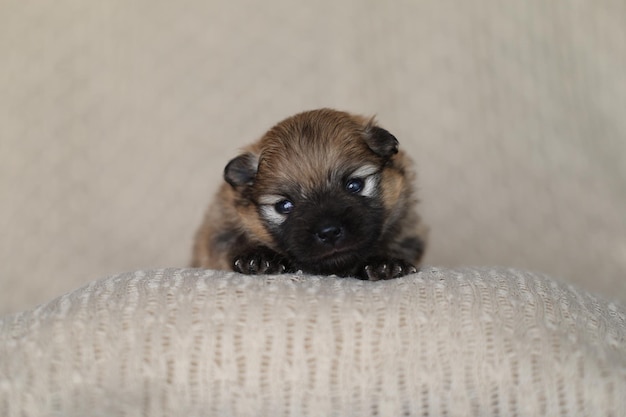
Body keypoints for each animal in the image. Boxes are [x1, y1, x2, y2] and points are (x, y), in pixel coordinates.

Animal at [190, 109, 424, 282]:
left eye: (354, 185)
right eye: (284, 206)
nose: (329, 232)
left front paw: (385, 261)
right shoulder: (219, 228)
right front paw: (257, 257)